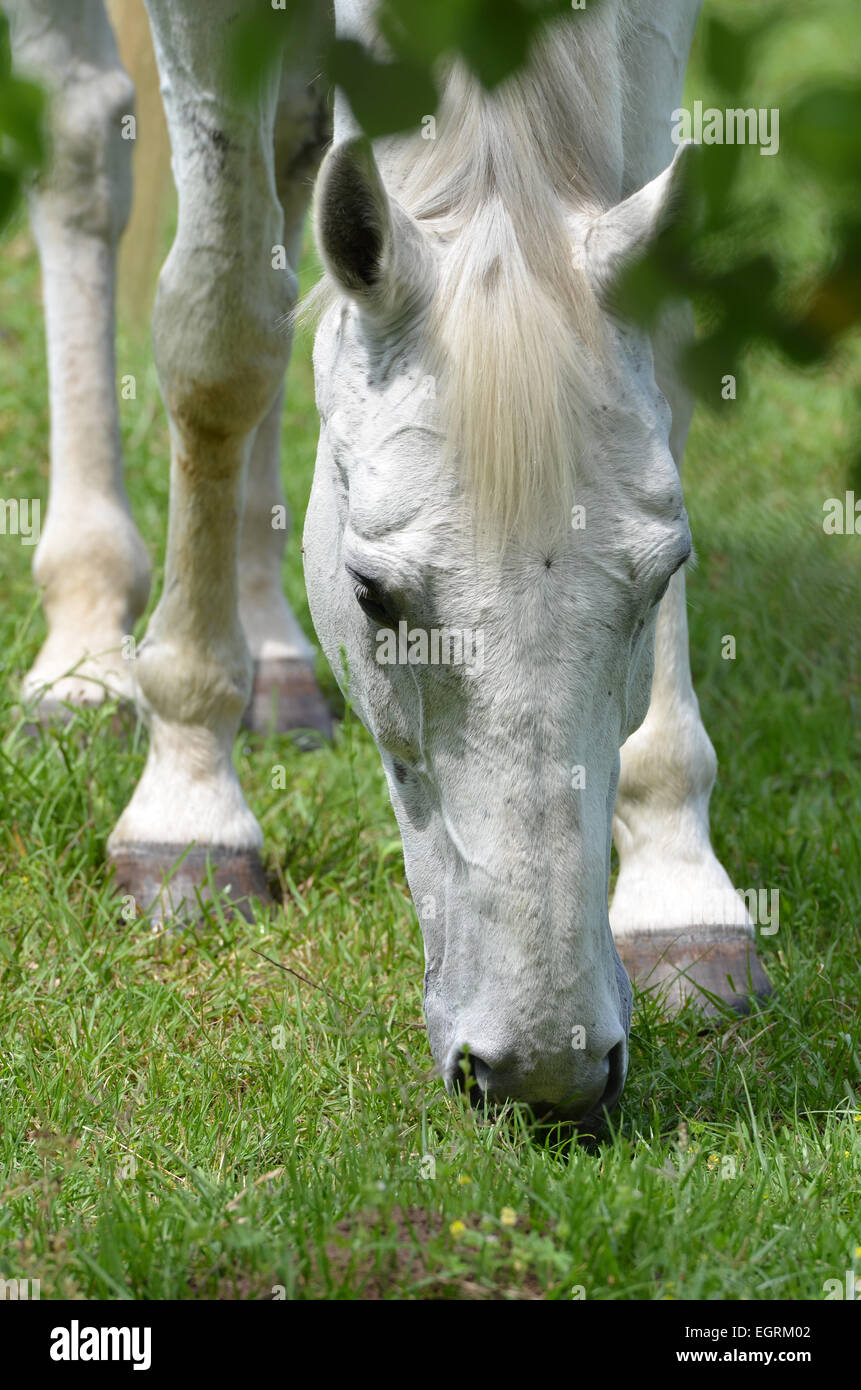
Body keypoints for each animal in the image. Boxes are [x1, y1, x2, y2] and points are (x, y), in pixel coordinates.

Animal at [5, 0, 769, 1122]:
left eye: (666, 573)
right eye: (374, 598)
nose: (544, 1072)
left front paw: (678, 877)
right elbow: (221, 336)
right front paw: (190, 804)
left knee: (293, 174)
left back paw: (273, 657)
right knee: (82, 149)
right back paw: (87, 650)